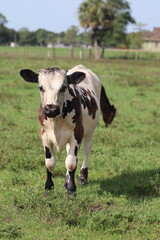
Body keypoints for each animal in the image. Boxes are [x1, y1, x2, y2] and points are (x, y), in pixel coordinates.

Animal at [20, 65, 115, 195]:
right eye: (41, 87)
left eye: (63, 87)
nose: (51, 109)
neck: (56, 120)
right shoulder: (44, 136)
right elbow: (50, 163)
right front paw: (48, 188)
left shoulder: (77, 134)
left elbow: (71, 163)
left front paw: (71, 190)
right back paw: (67, 180)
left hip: (90, 131)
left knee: (86, 150)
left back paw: (82, 177)